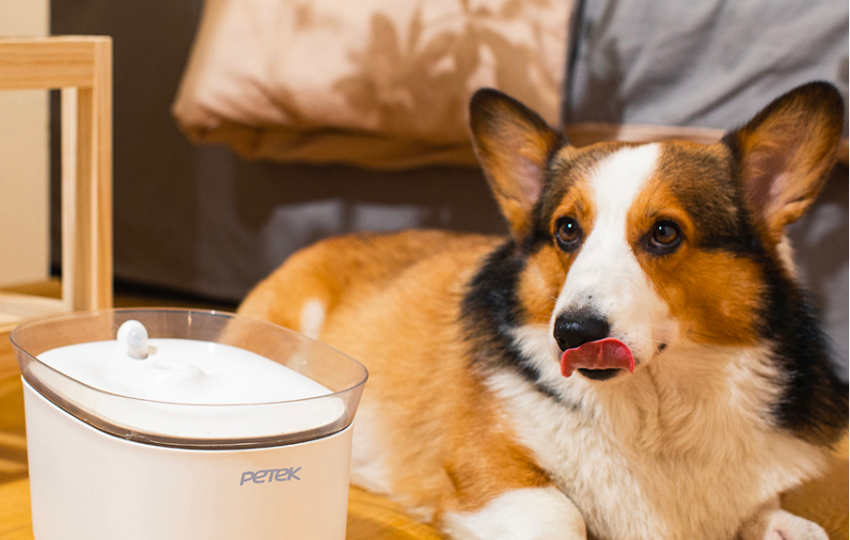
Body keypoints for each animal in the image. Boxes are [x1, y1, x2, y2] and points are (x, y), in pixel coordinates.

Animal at [238, 81, 848, 540]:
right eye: (567, 229)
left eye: (665, 233)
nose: (572, 331)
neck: (656, 414)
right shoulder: (490, 466)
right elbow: (561, 513)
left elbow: (785, 520)